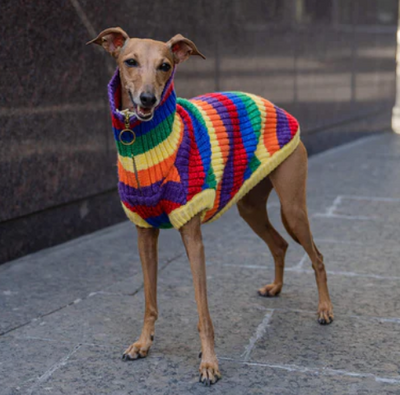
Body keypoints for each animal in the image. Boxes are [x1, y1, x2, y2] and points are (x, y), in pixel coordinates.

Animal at [88, 27, 334, 386]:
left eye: (165, 65)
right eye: (129, 62)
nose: (147, 99)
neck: (140, 144)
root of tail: (277, 106)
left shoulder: (192, 236)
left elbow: (203, 311)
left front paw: (209, 363)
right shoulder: (144, 234)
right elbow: (149, 300)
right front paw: (143, 343)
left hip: (292, 209)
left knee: (316, 256)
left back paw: (325, 309)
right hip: (251, 208)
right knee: (279, 244)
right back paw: (276, 287)